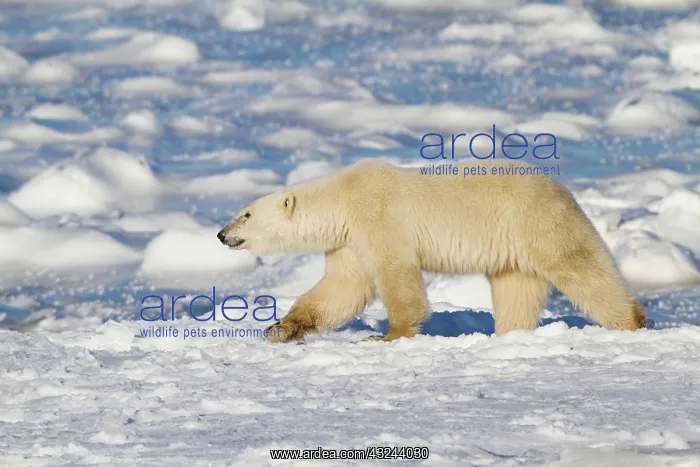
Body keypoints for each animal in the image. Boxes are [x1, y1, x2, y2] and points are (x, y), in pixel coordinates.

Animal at [217, 159, 647, 343]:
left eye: (246, 214)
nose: (221, 234)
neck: (341, 200)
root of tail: (562, 188)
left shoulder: (379, 218)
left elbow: (396, 277)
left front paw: (386, 337)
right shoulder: (348, 241)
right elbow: (342, 287)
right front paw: (280, 328)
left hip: (536, 222)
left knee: (581, 267)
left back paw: (633, 321)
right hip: (512, 250)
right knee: (516, 290)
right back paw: (507, 335)